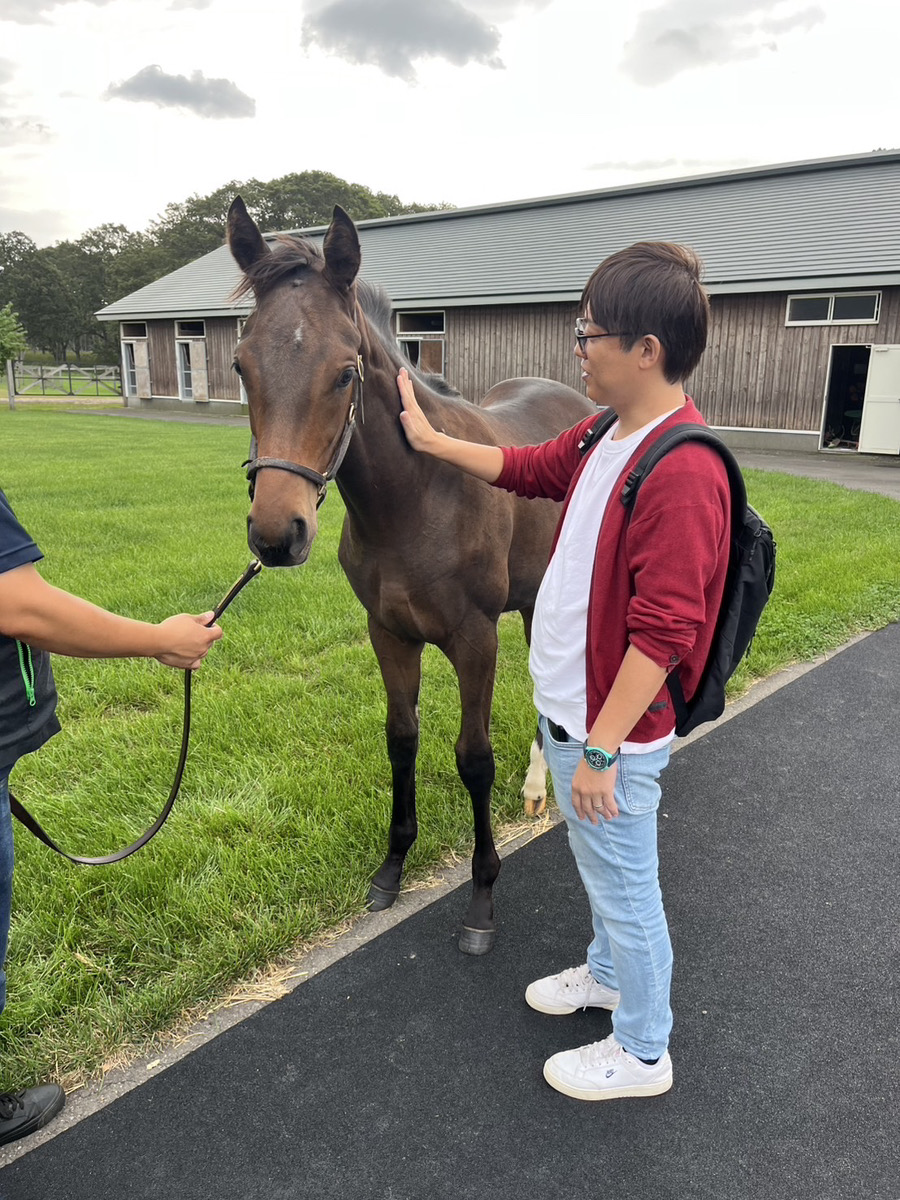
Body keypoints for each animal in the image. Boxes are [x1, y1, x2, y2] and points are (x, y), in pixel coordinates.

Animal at [227, 198, 596, 954]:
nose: (277, 534)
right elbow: (402, 740)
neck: (416, 501)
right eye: (242, 365)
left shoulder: (474, 639)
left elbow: (473, 757)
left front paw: (482, 895)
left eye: (345, 372)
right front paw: (392, 865)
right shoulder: (388, 633)